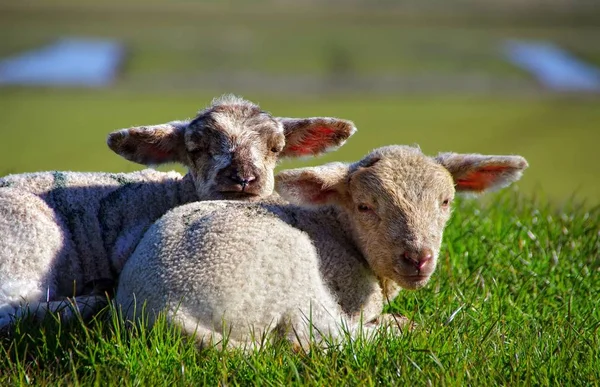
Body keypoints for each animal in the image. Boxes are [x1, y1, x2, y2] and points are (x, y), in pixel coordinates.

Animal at [0, 95, 356, 328]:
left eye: (275, 148)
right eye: (196, 149)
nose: (242, 178)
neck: (169, 194)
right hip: (27, 238)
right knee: (10, 308)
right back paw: (90, 301)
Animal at [115, 146, 528, 352]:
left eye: (446, 202)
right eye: (364, 207)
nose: (418, 258)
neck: (337, 225)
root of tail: (168, 310)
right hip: (290, 274)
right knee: (314, 337)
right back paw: (399, 329)